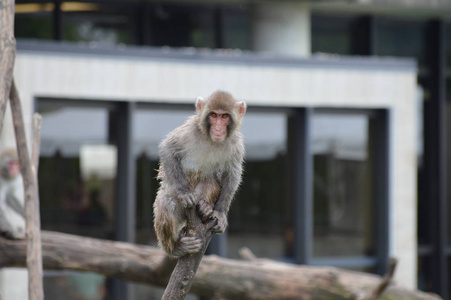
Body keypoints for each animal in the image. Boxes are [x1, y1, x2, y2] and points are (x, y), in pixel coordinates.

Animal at [155, 90, 247, 256]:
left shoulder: (236, 144)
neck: (211, 139)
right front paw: (184, 192)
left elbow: (233, 173)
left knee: (210, 180)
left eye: (224, 116)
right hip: (173, 200)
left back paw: (205, 209)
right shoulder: (189, 131)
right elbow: (168, 149)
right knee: (166, 204)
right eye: (214, 115)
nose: (218, 128)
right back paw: (176, 247)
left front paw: (220, 211)